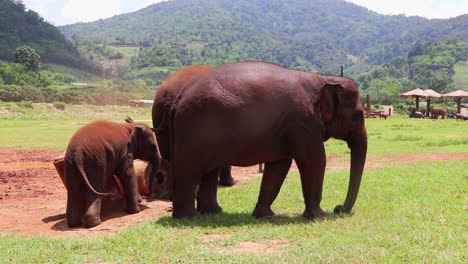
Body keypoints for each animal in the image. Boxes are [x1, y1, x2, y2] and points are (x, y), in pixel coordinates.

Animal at [170, 61, 368, 219]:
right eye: (358, 115)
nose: (338, 208)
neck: (321, 79)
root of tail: (178, 98)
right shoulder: (303, 122)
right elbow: (314, 160)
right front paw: (320, 216)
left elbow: (279, 166)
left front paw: (265, 216)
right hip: (194, 130)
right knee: (190, 171)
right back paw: (189, 217)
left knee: (209, 171)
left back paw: (213, 212)